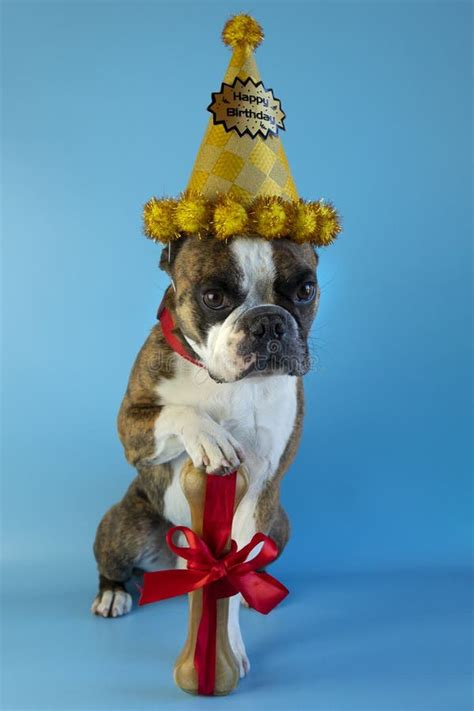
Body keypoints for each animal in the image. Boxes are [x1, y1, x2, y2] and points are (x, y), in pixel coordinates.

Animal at [90, 235, 320, 680]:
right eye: (213, 297)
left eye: (306, 290)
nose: (269, 321)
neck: (228, 384)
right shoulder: (132, 424)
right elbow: (180, 411)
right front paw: (210, 436)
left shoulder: (260, 488)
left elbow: (230, 574)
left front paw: (226, 645)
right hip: (126, 526)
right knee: (115, 564)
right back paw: (112, 594)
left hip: (279, 525)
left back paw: (256, 586)